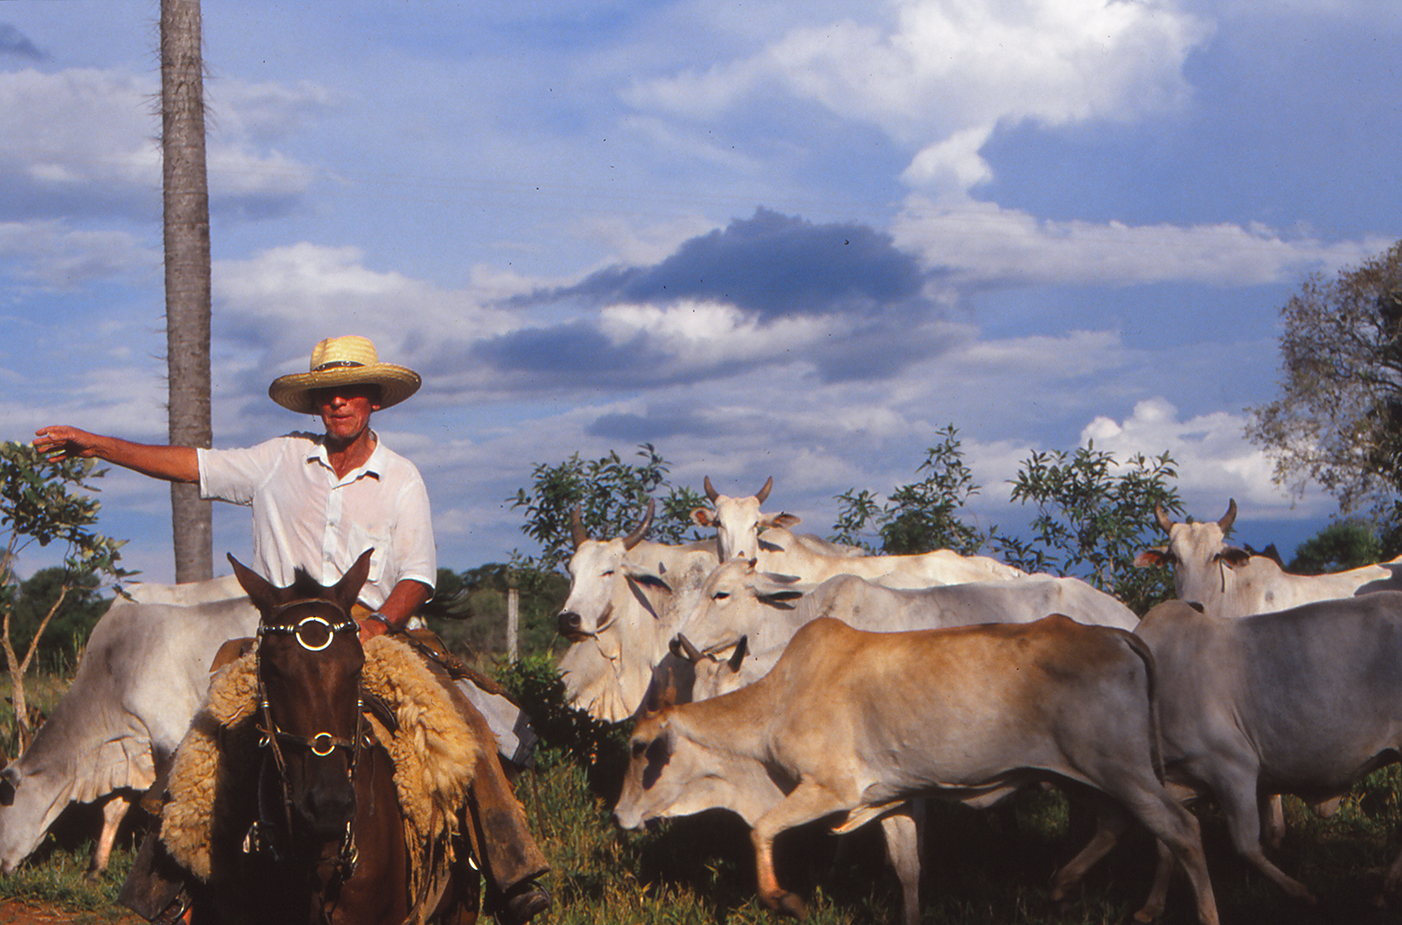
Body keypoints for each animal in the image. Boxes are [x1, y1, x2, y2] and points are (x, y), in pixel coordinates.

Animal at [614, 616, 1221, 925]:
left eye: (643, 748)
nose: (619, 815)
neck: (777, 702)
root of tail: (1119, 635)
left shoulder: (830, 791)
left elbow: (761, 830)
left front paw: (785, 899)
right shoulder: (893, 800)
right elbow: (908, 871)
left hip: (1122, 769)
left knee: (1184, 830)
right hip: (1083, 775)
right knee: (1119, 826)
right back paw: (1061, 887)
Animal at [1128, 594, 1402, 909]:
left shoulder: (1234, 766)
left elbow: (1246, 846)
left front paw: (1302, 892)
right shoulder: (1177, 780)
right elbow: (1166, 844)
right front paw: (1151, 906)